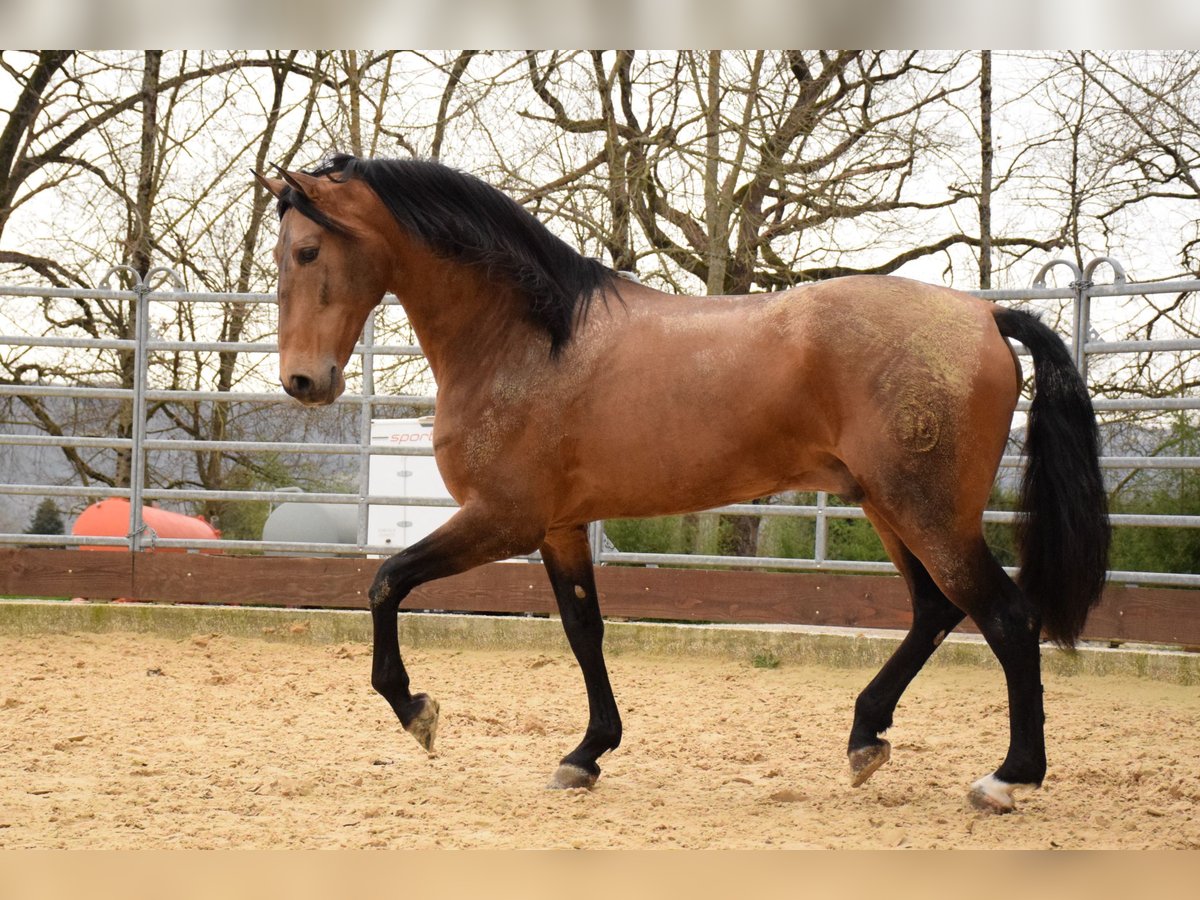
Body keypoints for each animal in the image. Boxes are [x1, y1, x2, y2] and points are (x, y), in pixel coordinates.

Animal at [253, 157, 1104, 816]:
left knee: (1005, 617)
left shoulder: (501, 519)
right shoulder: (560, 528)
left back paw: (1007, 779)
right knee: (934, 610)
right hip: (890, 507)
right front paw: (586, 754)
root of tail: (986, 317)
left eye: (305, 252)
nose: (304, 382)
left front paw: (417, 711)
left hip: (926, 513)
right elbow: (584, 631)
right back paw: (866, 738)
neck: (528, 340)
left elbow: (386, 581)